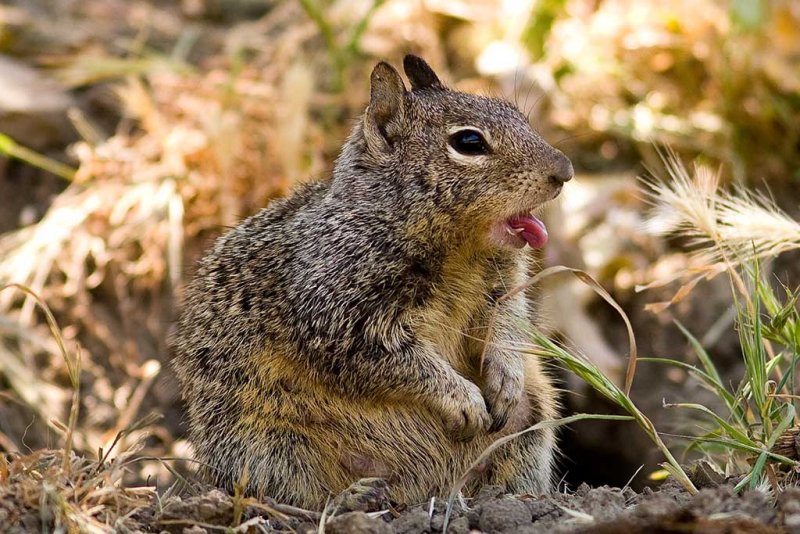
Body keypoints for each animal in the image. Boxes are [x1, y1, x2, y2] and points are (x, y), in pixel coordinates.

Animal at [173, 54, 576, 510]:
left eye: (517, 114)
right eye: (469, 142)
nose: (564, 171)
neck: (460, 249)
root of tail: (424, 492)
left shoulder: (503, 285)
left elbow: (507, 322)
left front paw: (505, 377)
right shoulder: (340, 311)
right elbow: (395, 361)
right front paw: (464, 400)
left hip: (531, 422)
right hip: (265, 441)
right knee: (297, 492)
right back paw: (355, 495)